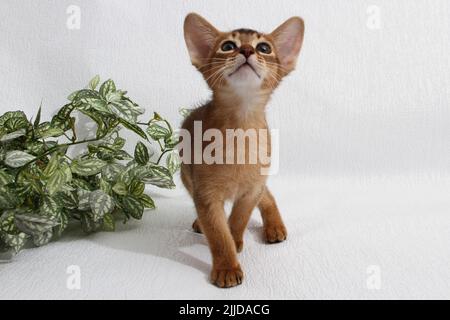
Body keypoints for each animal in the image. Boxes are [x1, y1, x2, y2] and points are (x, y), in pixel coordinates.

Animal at [181, 13, 304, 288]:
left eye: (264, 48)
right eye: (228, 46)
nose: (247, 50)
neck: (240, 130)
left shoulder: (250, 190)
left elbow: (238, 219)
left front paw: (235, 241)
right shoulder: (206, 195)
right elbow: (217, 234)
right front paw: (226, 267)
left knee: (267, 195)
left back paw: (274, 227)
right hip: (186, 176)